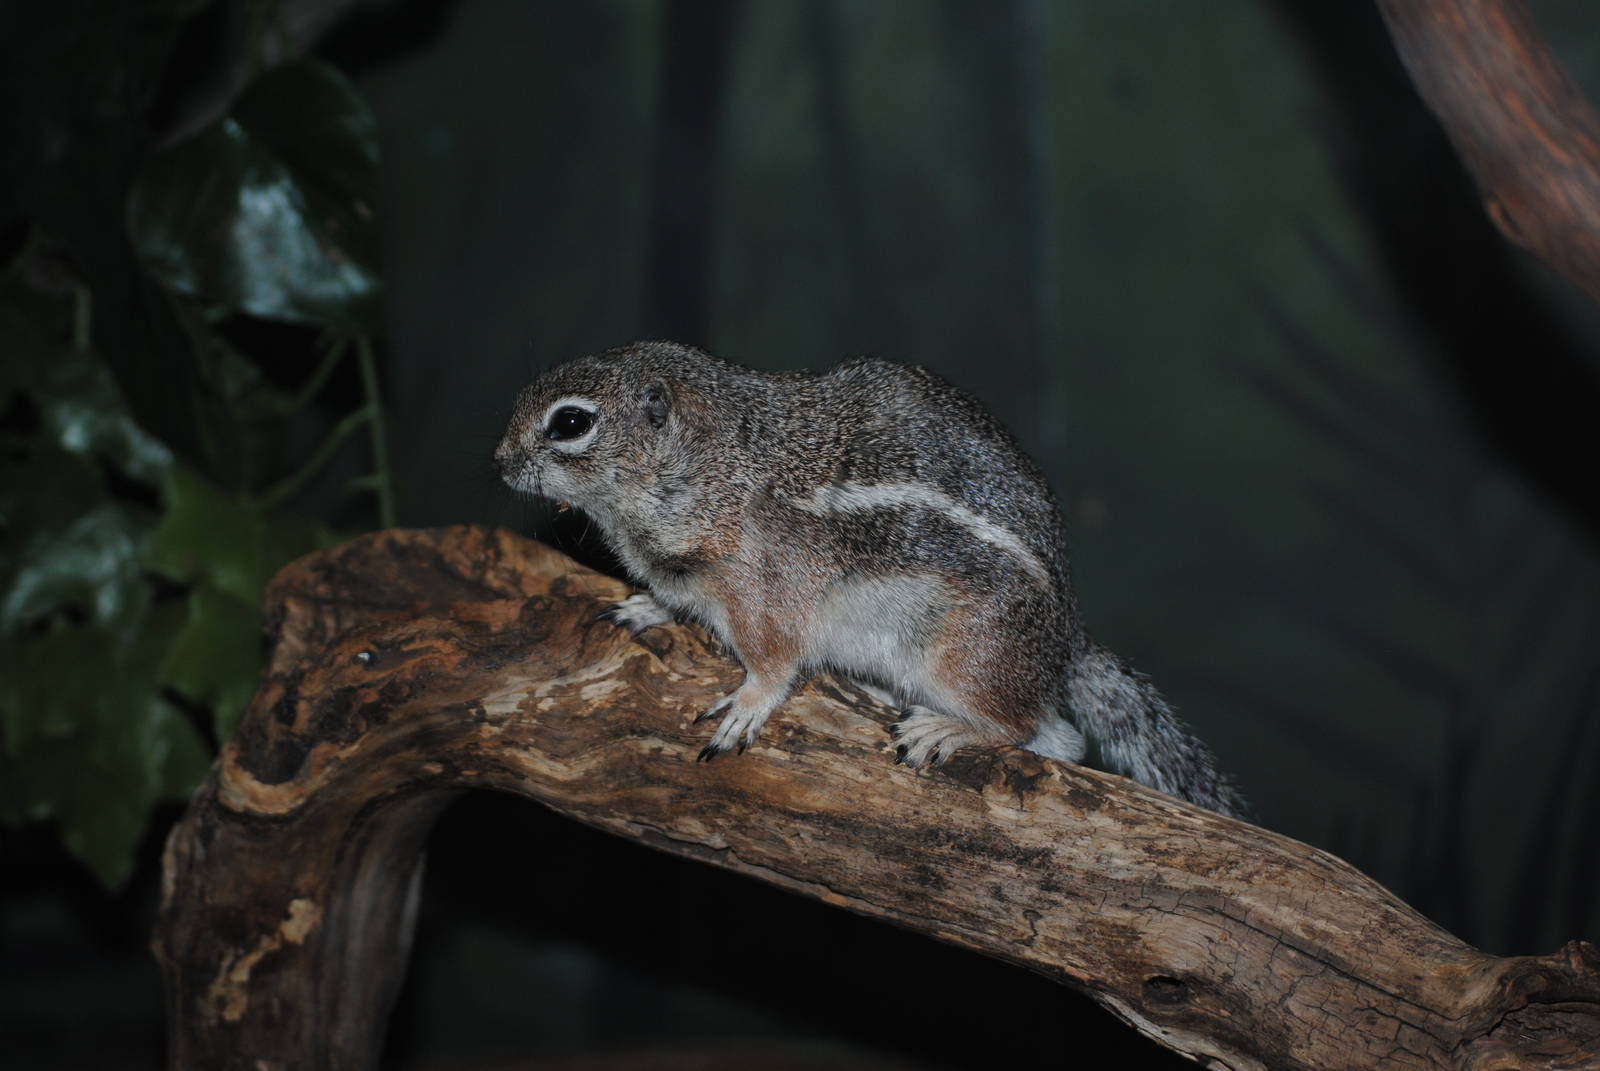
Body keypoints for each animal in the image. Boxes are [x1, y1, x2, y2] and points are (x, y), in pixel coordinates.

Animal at [494, 341, 1244, 817]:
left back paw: (946, 730)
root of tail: (1067, 643)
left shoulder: (767, 597)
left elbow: (775, 664)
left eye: (571, 421)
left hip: (963, 658)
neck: (708, 467)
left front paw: (745, 706)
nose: (499, 462)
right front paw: (647, 607)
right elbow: (673, 601)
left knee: (1051, 735)